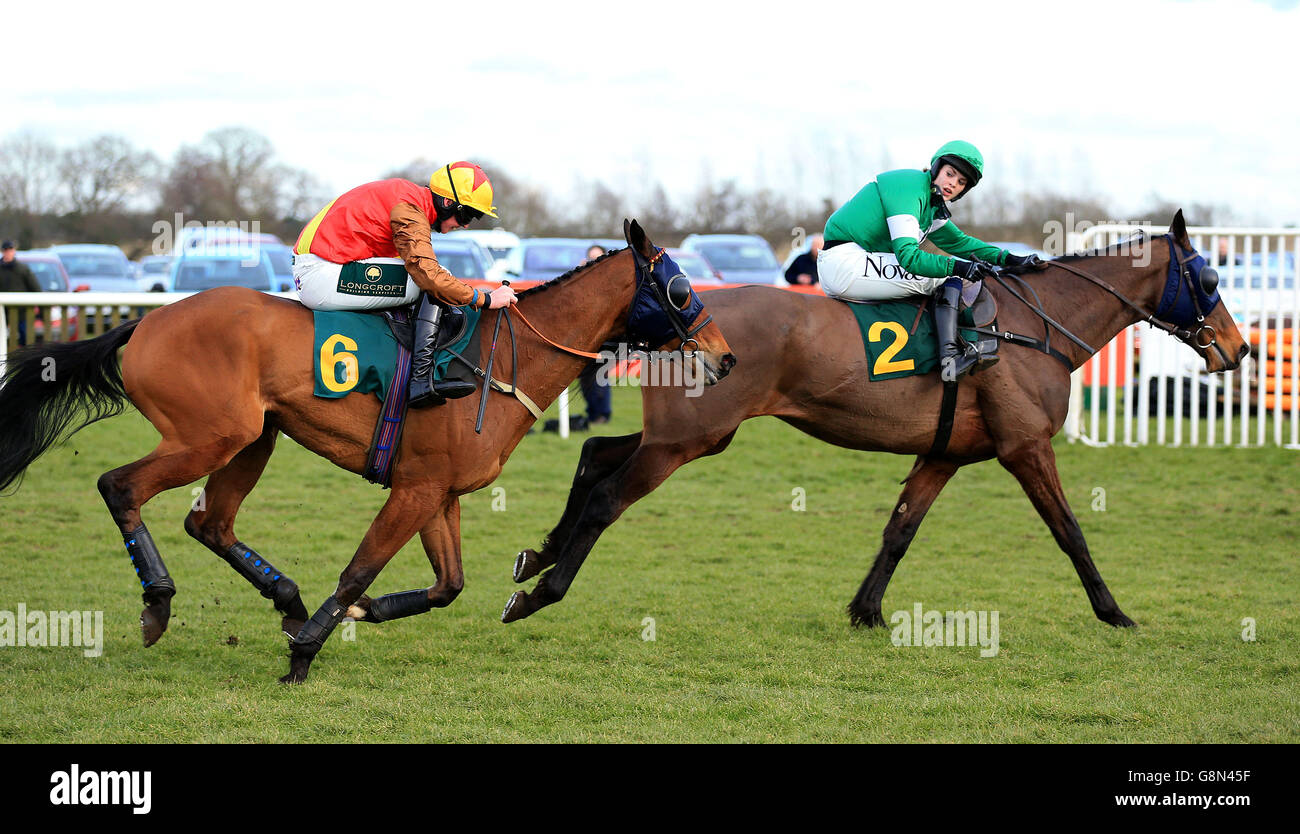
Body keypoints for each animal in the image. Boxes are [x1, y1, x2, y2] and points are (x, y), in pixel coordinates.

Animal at [0, 220, 733, 680]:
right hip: (207, 435)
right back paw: (158, 602)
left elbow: (447, 586)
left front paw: (356, 616)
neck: (499, 362)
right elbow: (358, 570)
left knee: (210, 522)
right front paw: (304, 657)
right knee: (121, 486)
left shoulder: (438, 493)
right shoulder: (414, 489)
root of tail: (145, 321)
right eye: (680, 288)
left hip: (254, 437)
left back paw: (288, 599)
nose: (726, 358)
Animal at [504, 210, 1248, 626]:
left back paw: (537, 554)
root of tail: (683, 319)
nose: (1239, 348)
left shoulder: (945, 453)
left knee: (594, 454)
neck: (1032, 326)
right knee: (607, 495)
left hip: (686, 435)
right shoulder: (1026, 446)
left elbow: (900, 531)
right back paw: (541, 592)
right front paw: (1114, 612)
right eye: (1210, 278)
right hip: (688, 439)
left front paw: (866, 610)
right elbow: (1071, 532)